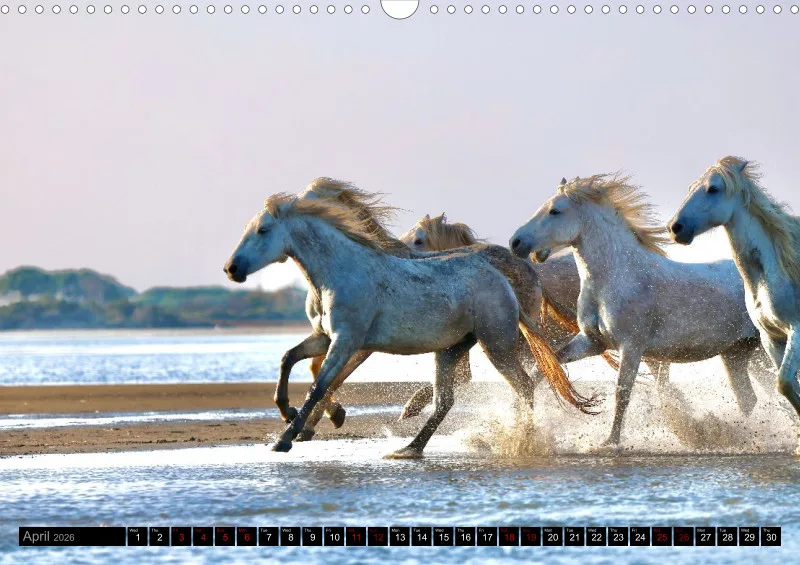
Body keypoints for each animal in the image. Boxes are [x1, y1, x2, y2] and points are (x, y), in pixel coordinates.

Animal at [223, 186, 598, 457]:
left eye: (263, 230)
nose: (231, 268)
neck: (343, 271)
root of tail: (503, 277)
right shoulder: (325, 338)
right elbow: (289, 359)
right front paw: (287, 413)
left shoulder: (346, 342)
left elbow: (319, 386)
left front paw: (285, 438)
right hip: (452, 348)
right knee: (447, 399)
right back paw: (409, 448)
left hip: (496, 344)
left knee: (523, 386)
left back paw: (520, 441)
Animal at [510, 173, 765, 450]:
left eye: (555, 210)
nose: (516, 242)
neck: (616, 276)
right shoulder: (592, 342)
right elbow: (547, 366)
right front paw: (521, 419)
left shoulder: (632, 347)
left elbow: (622, 393)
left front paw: (610, 442)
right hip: (739, 355)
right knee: (750, 399)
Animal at [669, 156, 800, 419]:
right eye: (690, 188)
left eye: (713, 189)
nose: (675, 227)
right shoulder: (772, 338)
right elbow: (786, 385)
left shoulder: (797, 330)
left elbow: (784, 383)